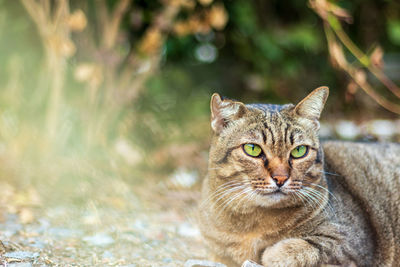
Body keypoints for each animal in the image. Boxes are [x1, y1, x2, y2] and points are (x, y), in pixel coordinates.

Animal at [199, 87, 400, 266]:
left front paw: (269, 253)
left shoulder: (352, 242)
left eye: (299, 151)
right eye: (253, 149)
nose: (280, 178)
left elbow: (300, 249)